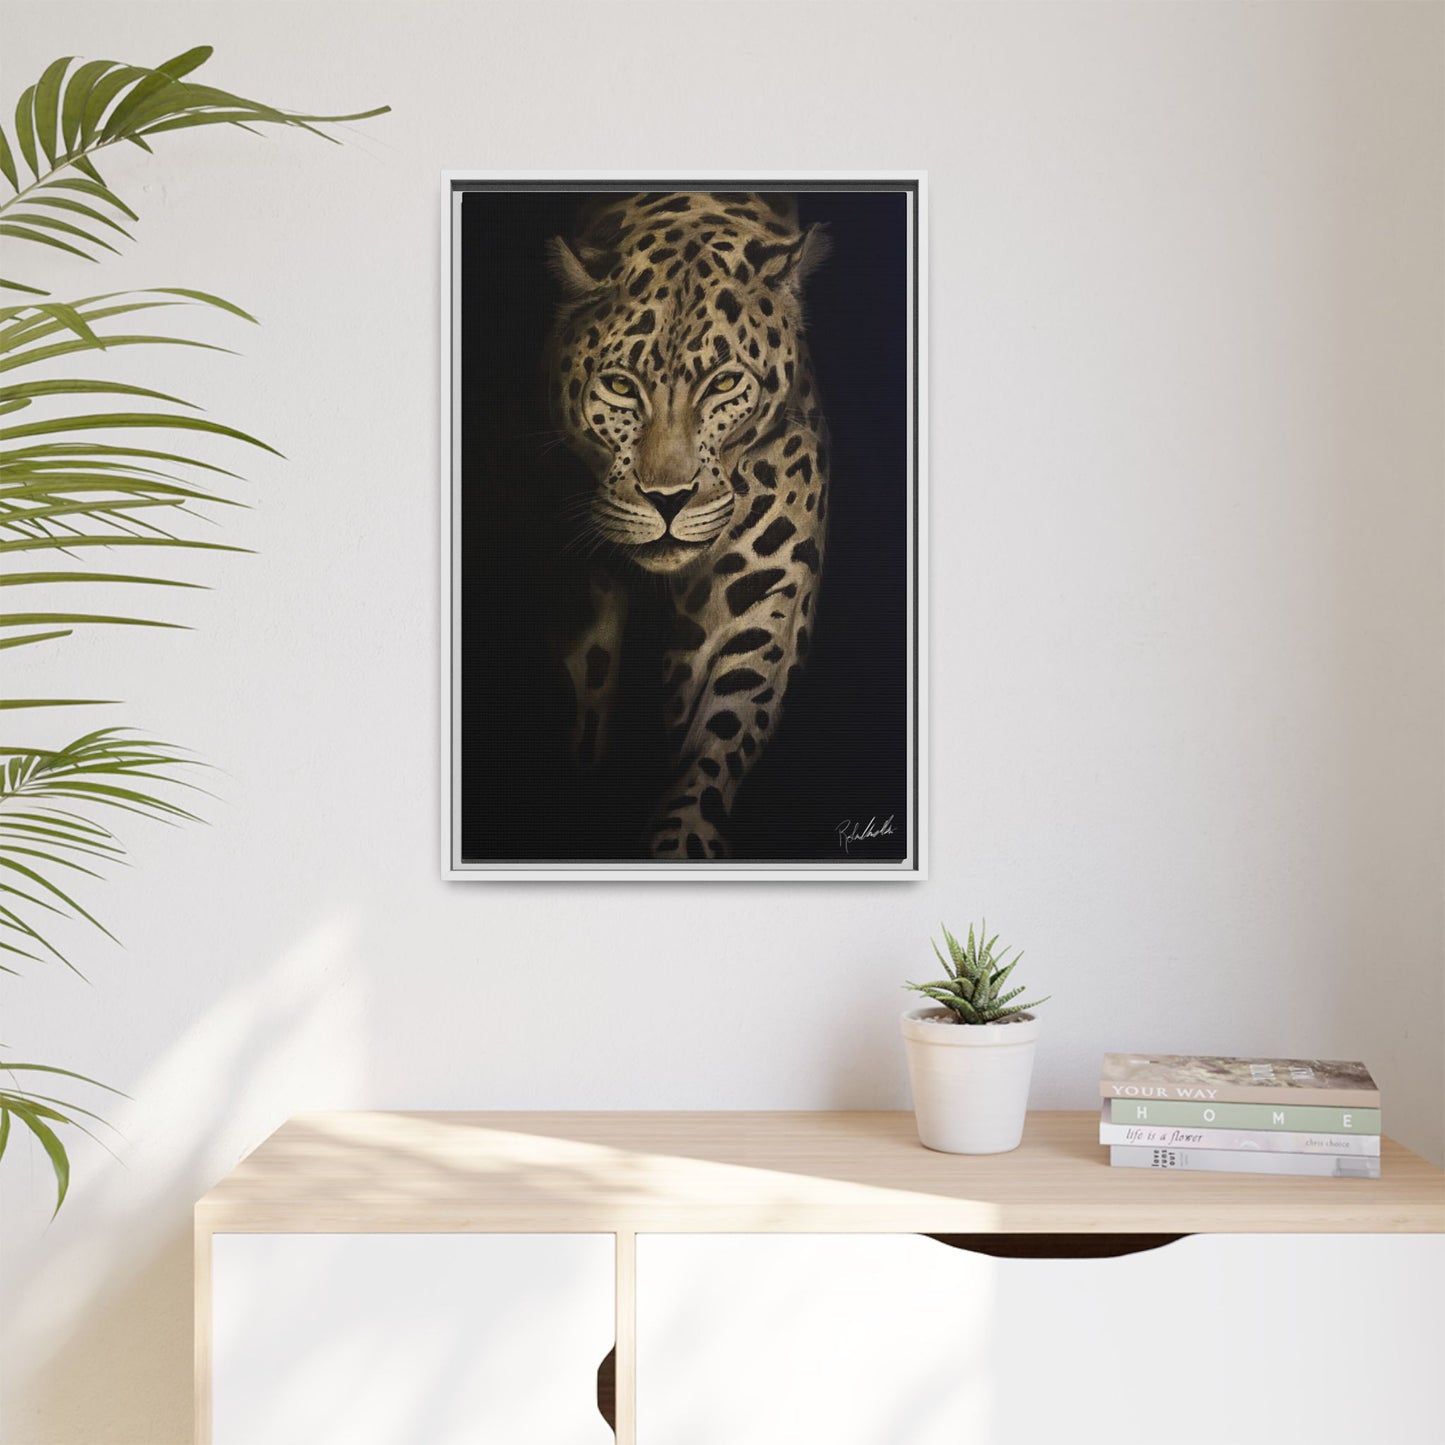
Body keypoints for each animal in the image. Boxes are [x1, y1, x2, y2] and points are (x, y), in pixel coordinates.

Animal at [546, 191, 830, 860]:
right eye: (620, 386)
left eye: (724, 383)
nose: (667, 500)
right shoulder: (585, 615)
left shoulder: (762, 600)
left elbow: (721, 736)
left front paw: (682, 841)